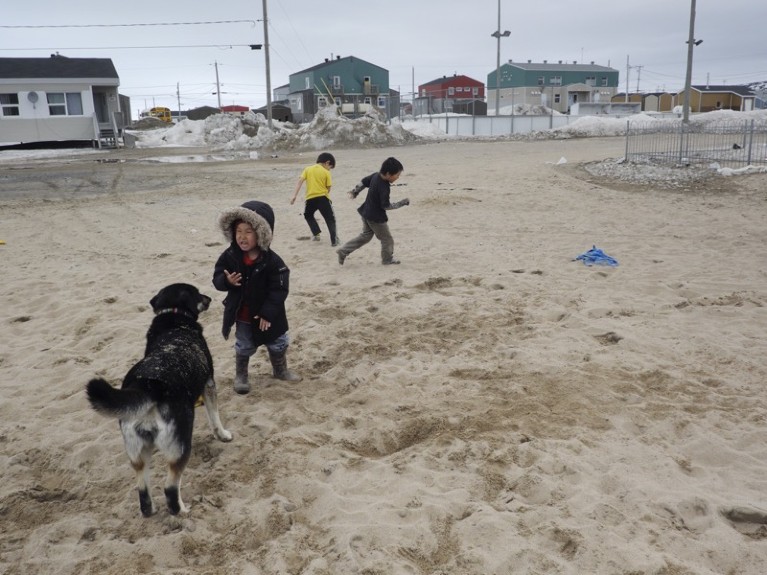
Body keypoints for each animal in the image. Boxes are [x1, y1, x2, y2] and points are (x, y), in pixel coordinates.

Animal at [86, 284, 231, 516]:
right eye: (197, 293)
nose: (209, 298)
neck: (173, 315)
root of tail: (148, 385)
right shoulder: (209, 383)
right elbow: (215, 416)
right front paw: (223, 434)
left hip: (137, 452)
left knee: (143, 491)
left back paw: (150, 511)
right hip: (181, 446)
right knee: (170, 488)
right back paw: (183, 511)